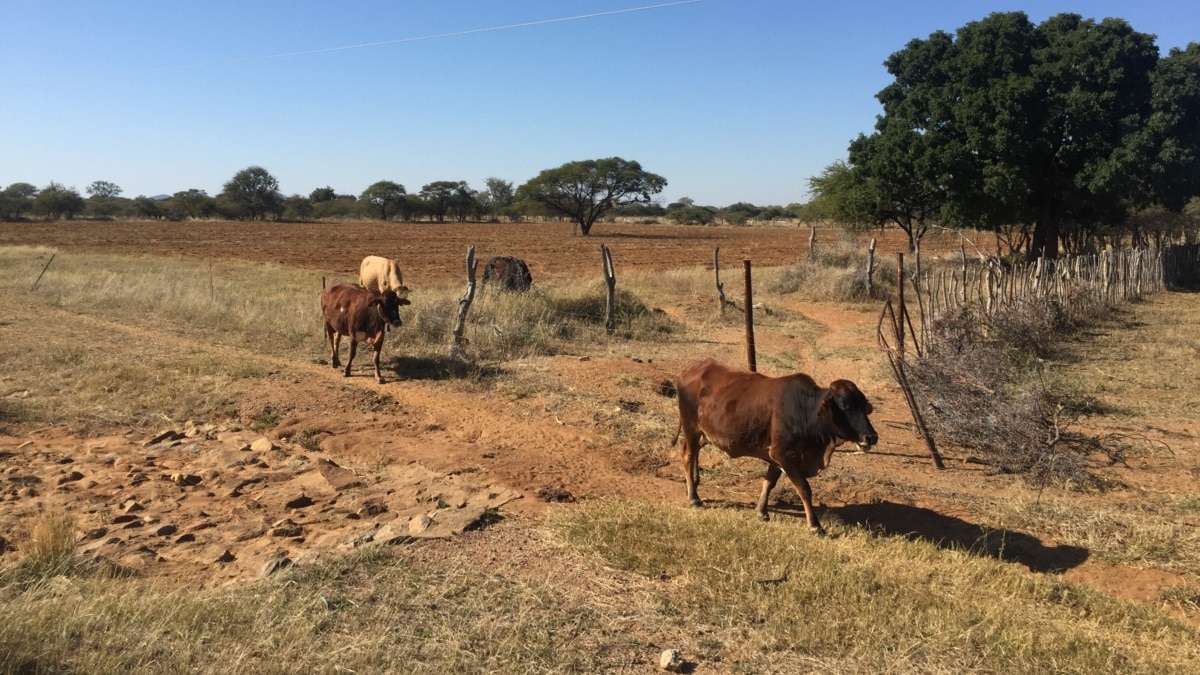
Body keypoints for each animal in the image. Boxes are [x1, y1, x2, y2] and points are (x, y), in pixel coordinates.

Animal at [672, 357, 878, 530]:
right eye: (845, 406)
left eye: (863, 406)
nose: (871, 437)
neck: (807, 411)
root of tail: (687, 370)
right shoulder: (783, 454)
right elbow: (804, 488)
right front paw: (815, 526)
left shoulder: (775, 455)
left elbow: (769, 482)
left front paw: (762, 511)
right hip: (691, 427)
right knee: (687, 455)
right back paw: (694, 498)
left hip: (702, 433)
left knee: (693, 452)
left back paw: (692, 486)